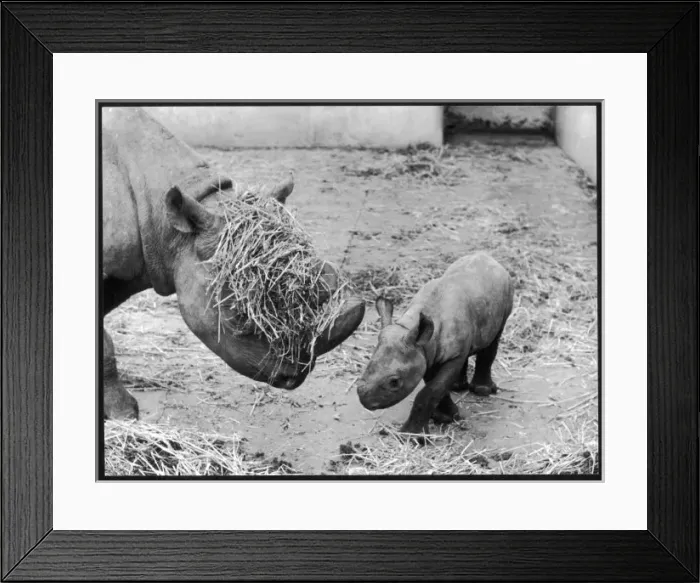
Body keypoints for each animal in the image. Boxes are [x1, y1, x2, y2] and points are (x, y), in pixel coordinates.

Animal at [356, 252, 513, 436]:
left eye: (394, 382)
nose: (364, 400)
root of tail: (487, 257)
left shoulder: (444, 354)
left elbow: (431, 391)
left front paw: (413, 435)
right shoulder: (425, 351)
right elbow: (435, 386)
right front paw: (445, 417)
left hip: (506, 291)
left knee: (494, 337)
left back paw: (482, 391)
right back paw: (457, 386)